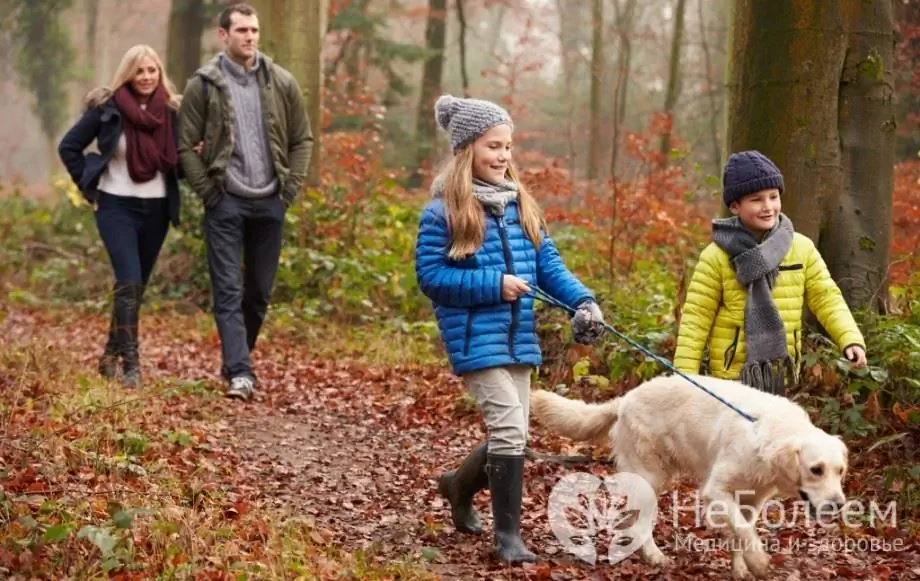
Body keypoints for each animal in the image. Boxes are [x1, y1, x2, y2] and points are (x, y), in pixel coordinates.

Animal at [532, 374, 848, 576]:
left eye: (840, 471)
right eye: (816, 470)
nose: (839, 504)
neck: (766, 434)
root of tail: (625, 399)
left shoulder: (752, 500)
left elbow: (741, 532)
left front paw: (741, 568)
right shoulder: (717, 491)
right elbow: (743, 530)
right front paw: (758, 561)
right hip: (650, 476)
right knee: (640, 522)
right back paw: (654, 556)